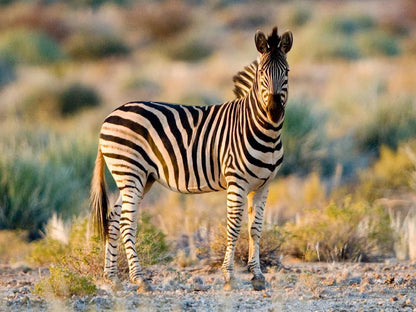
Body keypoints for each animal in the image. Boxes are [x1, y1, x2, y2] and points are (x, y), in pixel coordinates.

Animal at [91, 26, 292, 292]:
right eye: (261, 73)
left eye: (287, 72)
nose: (274, 111)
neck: (264, 131)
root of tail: (109, 115)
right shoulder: (236, 182)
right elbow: (233, 227)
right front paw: (229, 277)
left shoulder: (263, 185)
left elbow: (255, 229)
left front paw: (257, 276)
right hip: (130, 173)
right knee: (126, 223)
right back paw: (139, 279)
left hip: (142, 178)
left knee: (113, 219)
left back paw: (112, 278)